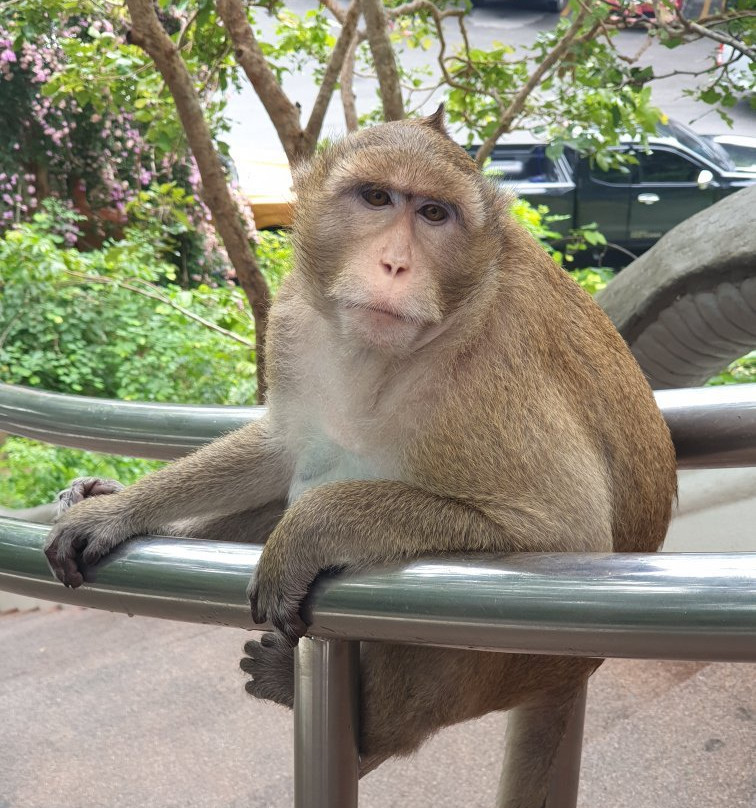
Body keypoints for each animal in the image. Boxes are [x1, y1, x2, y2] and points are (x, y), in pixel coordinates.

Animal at [44, 109, 676, 808]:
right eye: (376, 198)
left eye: (434, 213)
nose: (394, 263)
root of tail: (576, 671)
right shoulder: (295, 320)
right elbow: (282, 447)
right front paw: (117, 509)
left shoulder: (496, 373)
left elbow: (566, 536)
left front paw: (308, 530)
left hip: (513, 665)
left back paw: (362, 727)